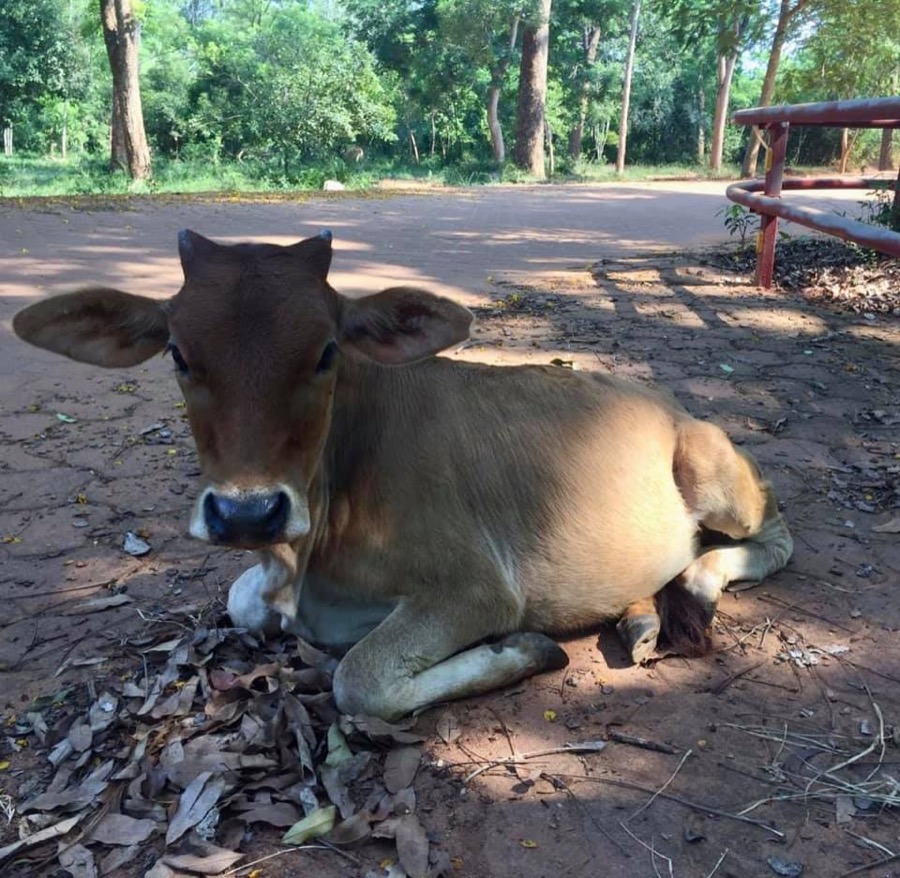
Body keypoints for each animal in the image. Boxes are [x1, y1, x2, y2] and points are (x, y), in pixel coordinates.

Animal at [13, 231, 793, 721]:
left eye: (327, 351)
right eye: (177, 352)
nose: (246, 513)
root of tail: (670, 403)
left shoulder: (476, 588)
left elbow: (360, 680)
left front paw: (523, 649)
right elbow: (243, 604)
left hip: (714, 474)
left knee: (774, 531)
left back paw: (694, 585)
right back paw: (639, 615)